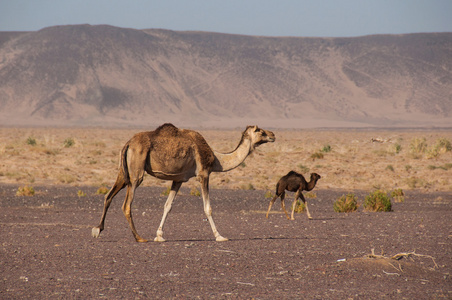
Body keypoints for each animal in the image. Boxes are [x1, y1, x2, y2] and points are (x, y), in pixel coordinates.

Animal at [92, 123, 276, 243]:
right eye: (259, 130)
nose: (273, 135)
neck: (217, 158)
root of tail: (128, 143)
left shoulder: (178, 179)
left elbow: (167, 206)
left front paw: (159, 236)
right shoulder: (203, 174)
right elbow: (208, 208)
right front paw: (220, 236)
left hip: (124, 173)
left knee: (108, 196)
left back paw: (97, 230)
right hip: (136, 173)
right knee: (127, 205)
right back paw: (139, 238)